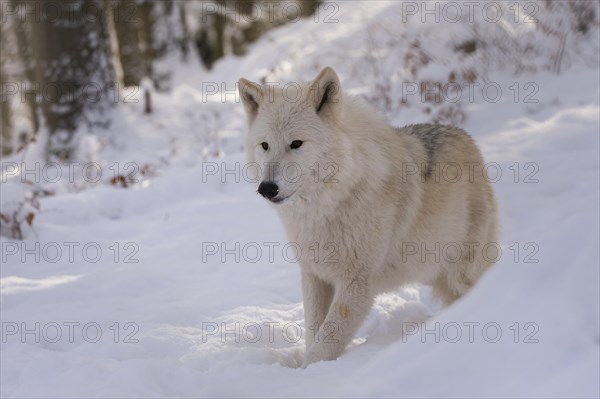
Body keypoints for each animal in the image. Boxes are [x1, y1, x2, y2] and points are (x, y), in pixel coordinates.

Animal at [238, 66, 496, 368]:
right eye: (265, 145)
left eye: (296, 143)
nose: (267, 188)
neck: (327, 207)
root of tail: (466, 137)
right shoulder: (314, 276)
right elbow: (314, 332)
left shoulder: (357, 283)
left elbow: (324, 344)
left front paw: (310, 373)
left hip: (461, 272)